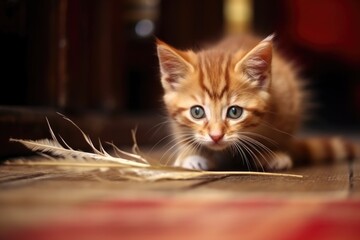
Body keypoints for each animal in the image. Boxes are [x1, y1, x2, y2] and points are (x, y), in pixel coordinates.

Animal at [156, 33, 358, 171]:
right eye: (196, 112)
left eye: (234, 112)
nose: (216, 136)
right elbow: (182, 134)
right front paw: (191, 154)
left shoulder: (287, 100)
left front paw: (272, 153)